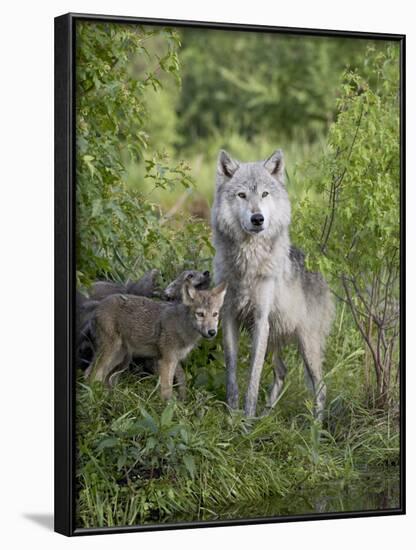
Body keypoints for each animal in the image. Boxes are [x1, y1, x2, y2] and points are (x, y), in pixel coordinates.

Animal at [85, 282, 226, 398]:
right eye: (200, 314)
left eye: (215, 314)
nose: (212, 332)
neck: (183, 328)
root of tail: (98, 305)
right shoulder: (166, 361)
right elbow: (167, 391)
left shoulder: (173, 361)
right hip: (110, 352)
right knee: (93, 375)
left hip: (118, 357)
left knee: (92, 374)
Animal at [211, 149, 334, 420]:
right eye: (242, 195)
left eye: (265, 194)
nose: (258, 218)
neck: (248, 262)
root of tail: (321, 273)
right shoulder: (229, 317)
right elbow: (232, 373)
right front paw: (232, 415)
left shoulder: (260, 321)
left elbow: (253, 379)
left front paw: (246, 421)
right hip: (275, 338)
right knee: (282, 372)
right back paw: (266, 416)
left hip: (306, 344)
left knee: (320, 388)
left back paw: (315, 429)